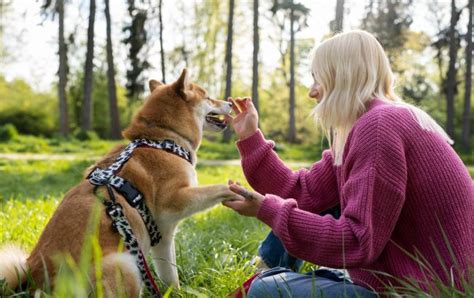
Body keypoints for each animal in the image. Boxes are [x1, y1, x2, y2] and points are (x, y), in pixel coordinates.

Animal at [0, 69, 237, 296]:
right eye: (209, 97)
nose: (229, 102)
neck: (162, 139)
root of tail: (35, 281)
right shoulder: (173, 204)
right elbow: (215, 190)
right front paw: (235, 190)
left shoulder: (161, 237)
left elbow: (168, 274)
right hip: (125, 263)